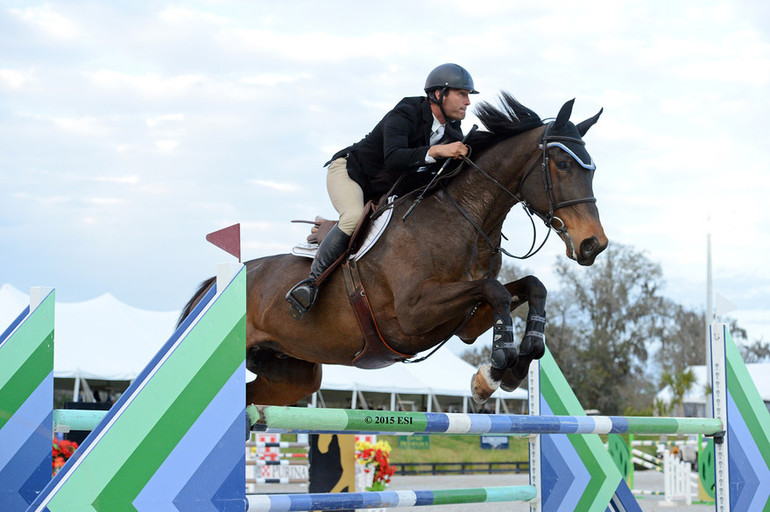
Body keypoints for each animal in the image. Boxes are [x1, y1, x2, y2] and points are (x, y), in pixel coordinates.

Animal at [180, 94, 608, 408]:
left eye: (592, 168)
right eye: (562, 164)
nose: (593, 244)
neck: (464, 217)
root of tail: (213, 286)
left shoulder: (465, 323)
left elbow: (531, 286)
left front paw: (515, 363)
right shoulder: (413, 313)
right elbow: (497, 290)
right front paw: (496, 367)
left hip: (291, 373)